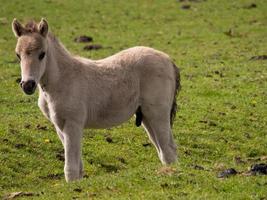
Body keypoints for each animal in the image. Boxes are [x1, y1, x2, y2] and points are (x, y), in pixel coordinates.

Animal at [11, 18, 181, 181]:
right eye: (18, 55)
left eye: (42, 54)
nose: (27, 85)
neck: (63, 80)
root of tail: (168, 59)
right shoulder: (59, 125)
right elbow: (78, 165)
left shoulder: (73, 123)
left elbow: (71, 167)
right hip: (146, 116)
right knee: (165, 150)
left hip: (157, 113)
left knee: (168, 149)